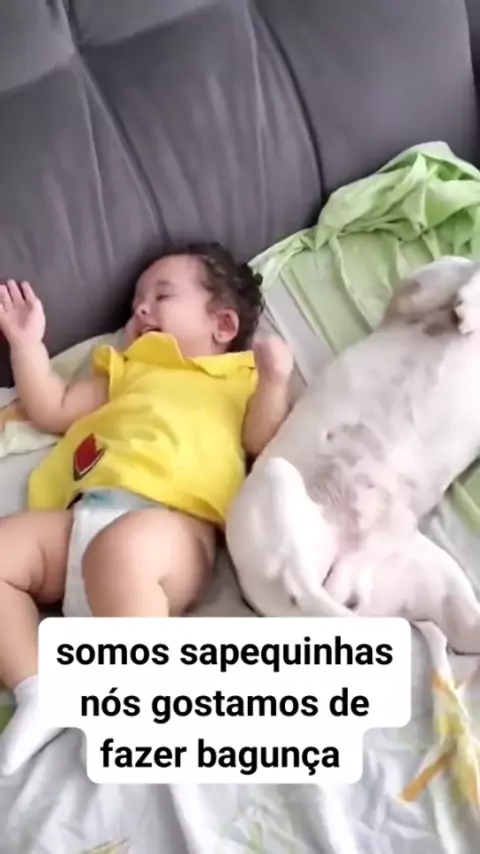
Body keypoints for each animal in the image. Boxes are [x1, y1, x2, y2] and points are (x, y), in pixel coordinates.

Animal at [226, 256, 480, 653]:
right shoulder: (418, 288)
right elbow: (464, 267)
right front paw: (469, 305)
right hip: (278, 482)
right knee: (301, 582)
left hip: (432, 577)